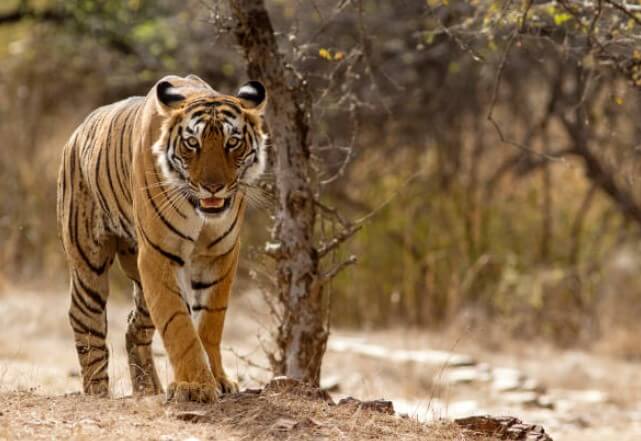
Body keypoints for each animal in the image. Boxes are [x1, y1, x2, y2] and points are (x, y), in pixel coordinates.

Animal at [58, 74, 268, 400]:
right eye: (192, 143)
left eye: (232, 142)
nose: (213, 187)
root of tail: (78, 132)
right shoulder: (159, 255)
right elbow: (178, 323)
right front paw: (195, 386)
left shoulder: (220, 254)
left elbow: (210, 321)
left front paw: (218, 379)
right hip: (88, 262)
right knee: (85, 321)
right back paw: (98, 393)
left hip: (139, 282)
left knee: (134, 326)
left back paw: (148, 389)